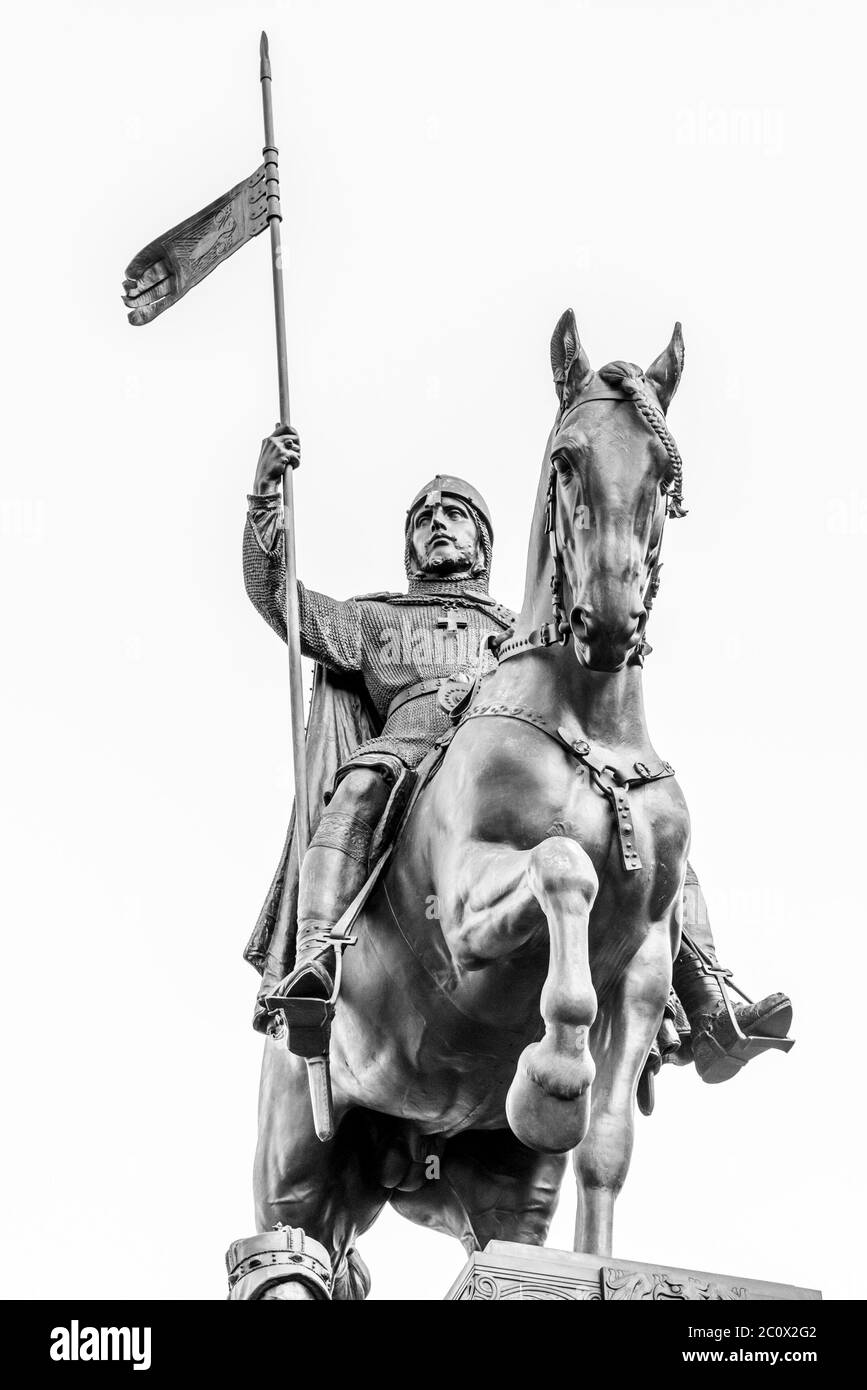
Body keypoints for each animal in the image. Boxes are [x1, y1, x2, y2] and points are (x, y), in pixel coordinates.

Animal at [248, 312, 691, 1301]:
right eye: (566, 458)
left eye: (662, 469)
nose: (608, 619)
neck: (586, 724)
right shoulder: (463, 919)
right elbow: (563, 871)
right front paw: (553, 1080)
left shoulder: (646, 961)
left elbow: (604, 1147)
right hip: (299, 1164)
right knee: (286, 1249)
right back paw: (307, 988)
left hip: (496, 1183)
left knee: (501, 1231)